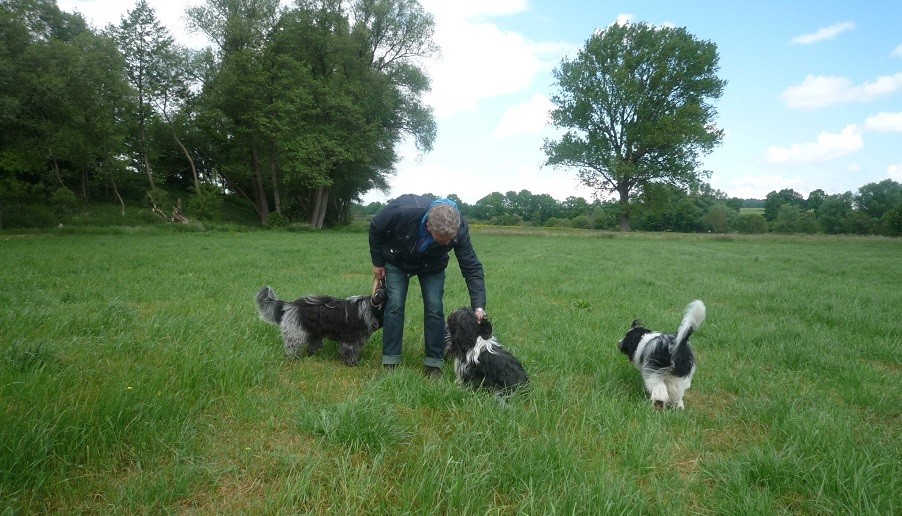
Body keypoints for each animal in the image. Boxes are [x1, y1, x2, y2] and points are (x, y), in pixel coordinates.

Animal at [256, 282, 386, 366]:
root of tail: (289, 305)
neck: (371, 307)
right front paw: (352, 363)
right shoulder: (350, 339)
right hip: (296, 333)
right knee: (292, 346)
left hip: (313, 334)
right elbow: (350, 351)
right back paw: (293, 359)